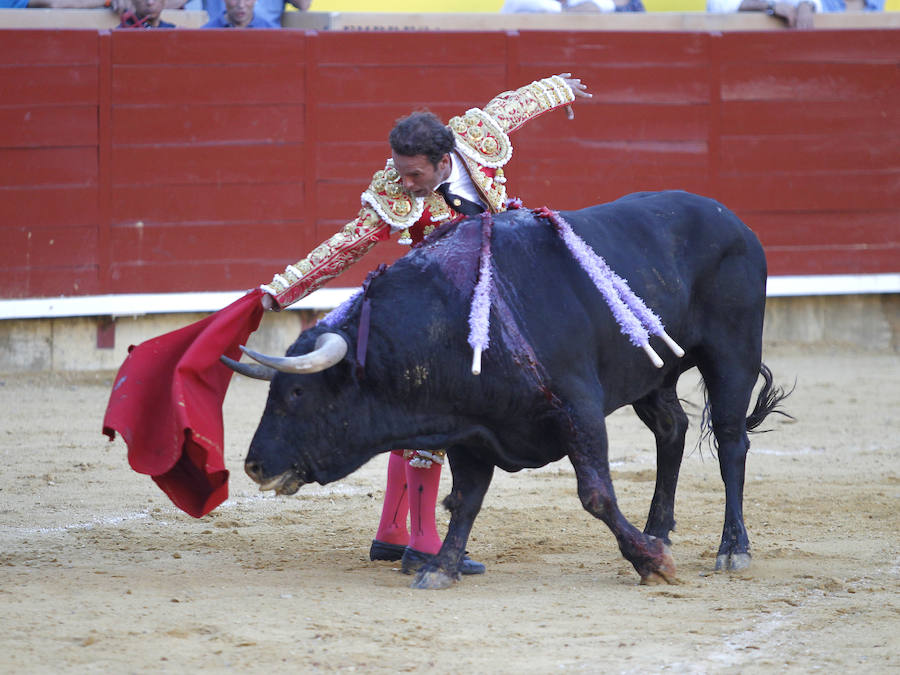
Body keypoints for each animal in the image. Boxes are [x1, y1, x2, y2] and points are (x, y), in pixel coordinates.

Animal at [230, 191, 788, 592]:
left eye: (297, 394)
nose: (253, 465)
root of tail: (734, 222)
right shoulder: (471, 429)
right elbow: (465, 499)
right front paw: (441, 567)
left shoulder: (578, 408)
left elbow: (596, 494)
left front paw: (651, 564)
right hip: (653, 372)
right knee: (672, 431)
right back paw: (658, 528)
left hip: (731, 354)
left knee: (731, 442)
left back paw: (732, 548)